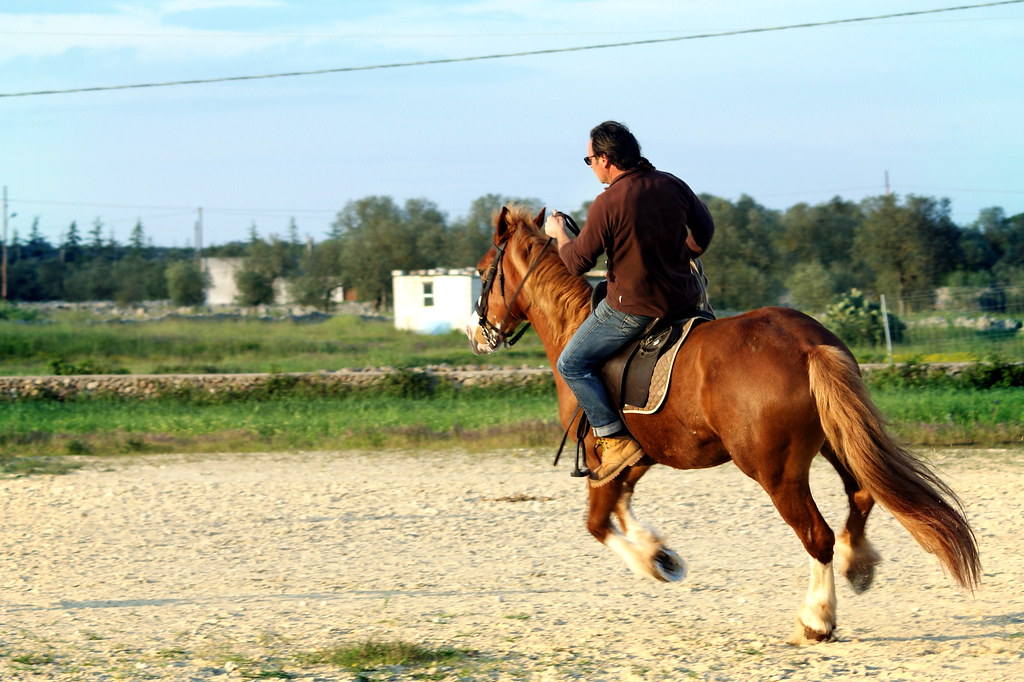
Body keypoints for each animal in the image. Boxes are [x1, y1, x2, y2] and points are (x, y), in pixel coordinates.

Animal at [465, 205, 980, 642]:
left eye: (482, 270)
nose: (475, 334)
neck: (573, 326)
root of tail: (808, 345)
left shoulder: (600, 457)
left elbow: (597, 523)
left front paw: (652, 562)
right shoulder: (637, 457)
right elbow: (622, 507)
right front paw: (661, 553)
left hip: (776, 471)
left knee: (818, 536)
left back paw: (817, 618)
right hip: (837, 441)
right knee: (862, 495)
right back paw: (858, 565)